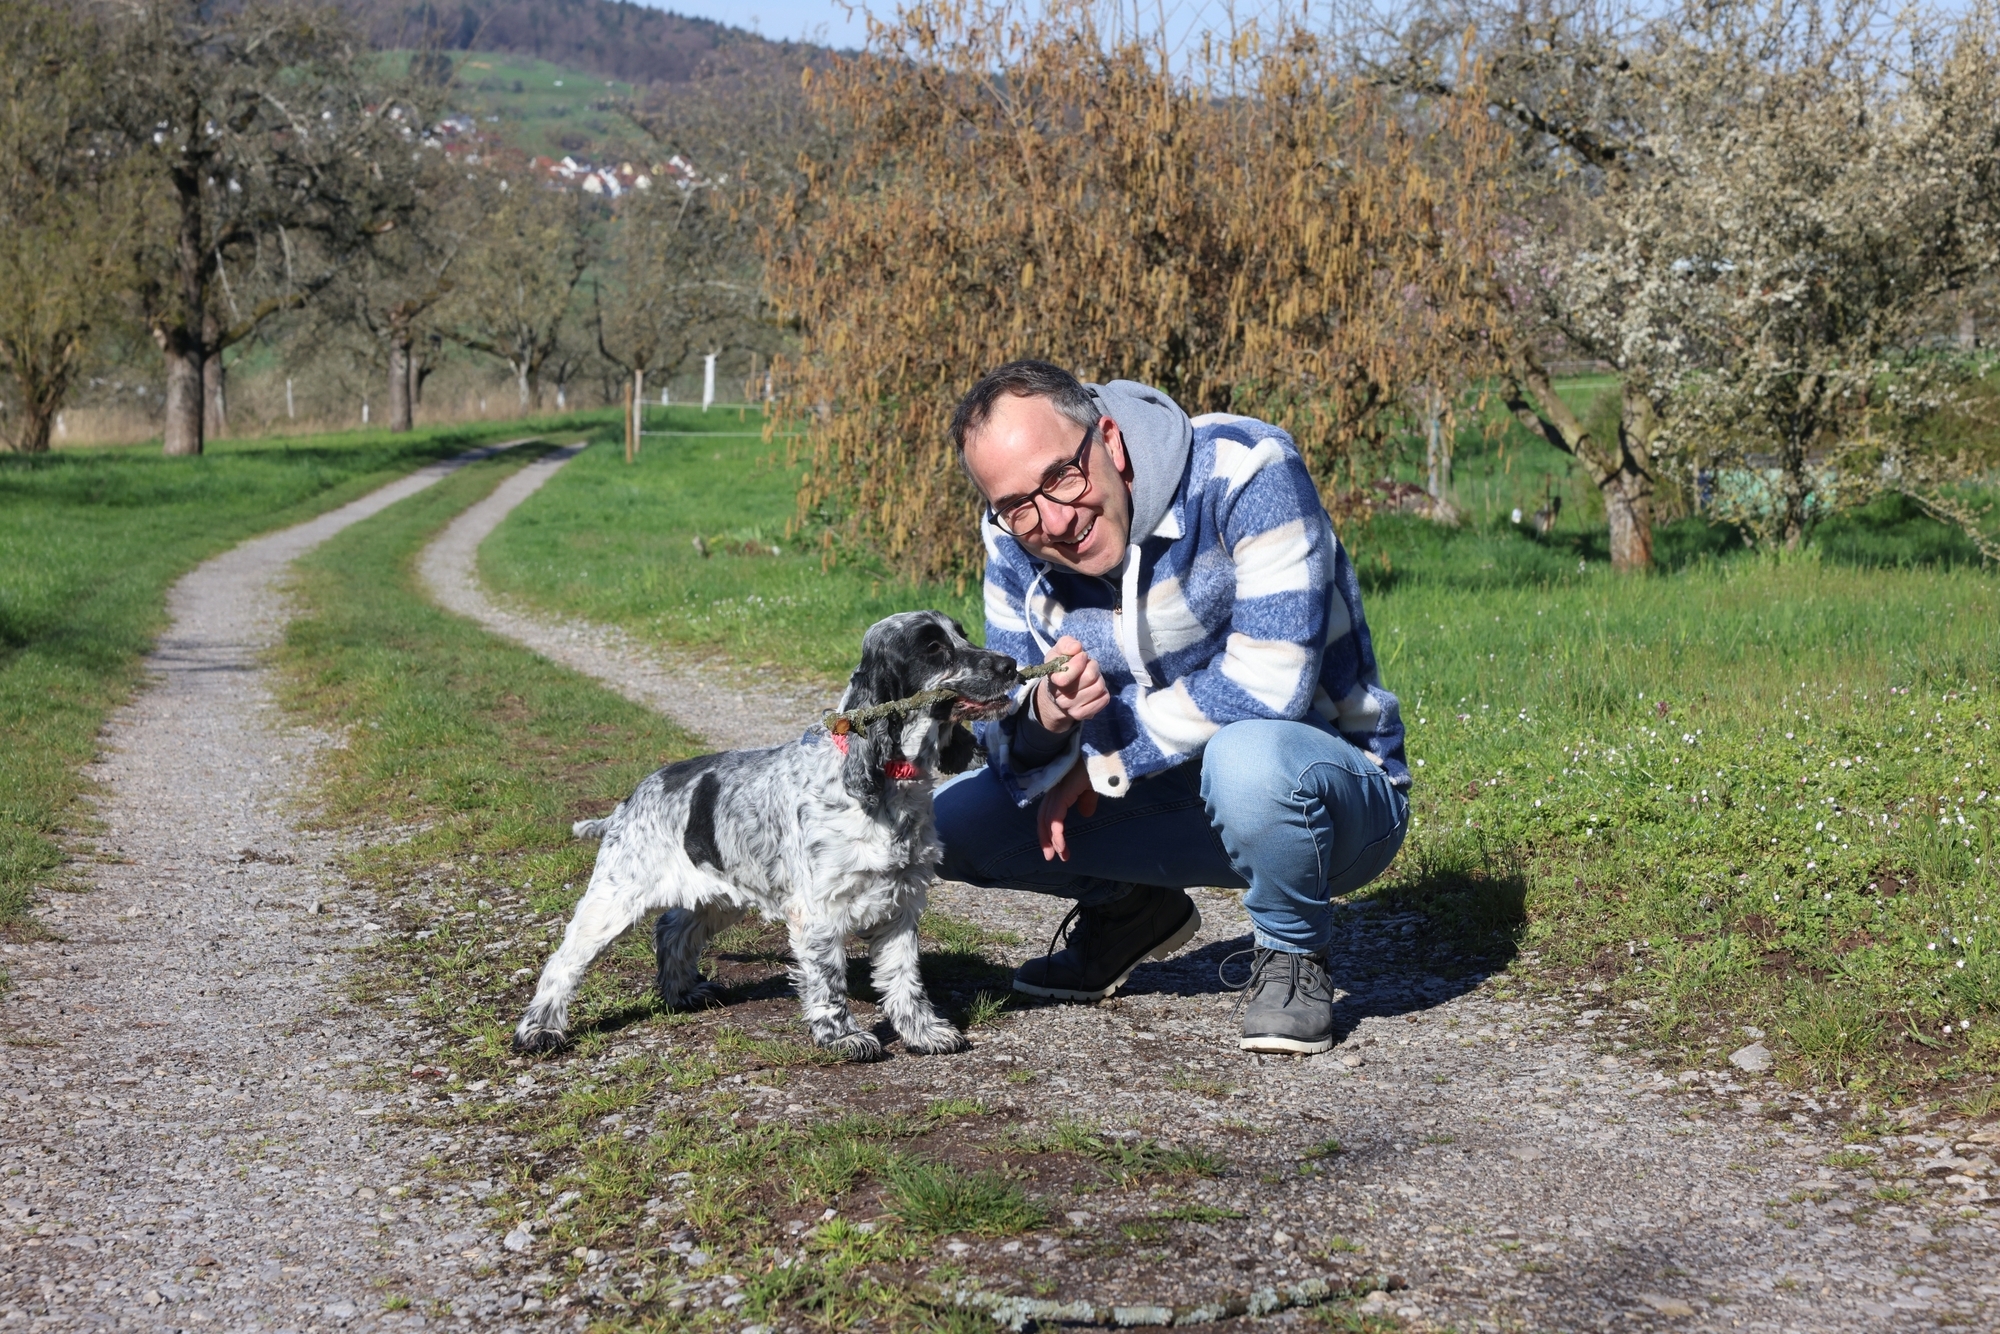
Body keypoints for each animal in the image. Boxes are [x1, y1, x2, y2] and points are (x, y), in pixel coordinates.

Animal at [513, 611, 1021, 1060]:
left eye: (962, 633)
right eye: (932, 647)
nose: (1010, 664)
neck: (888, 786)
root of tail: (632, 798)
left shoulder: (902, 902)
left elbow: (903, 979)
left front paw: (925, 1033)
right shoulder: (819, 912)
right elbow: (828, 981)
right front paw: (843, 1038)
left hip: (719, 896)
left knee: (672, 929)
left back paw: (682, 994)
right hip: (616, 895)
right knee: (564, 961)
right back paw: (539, 1031)